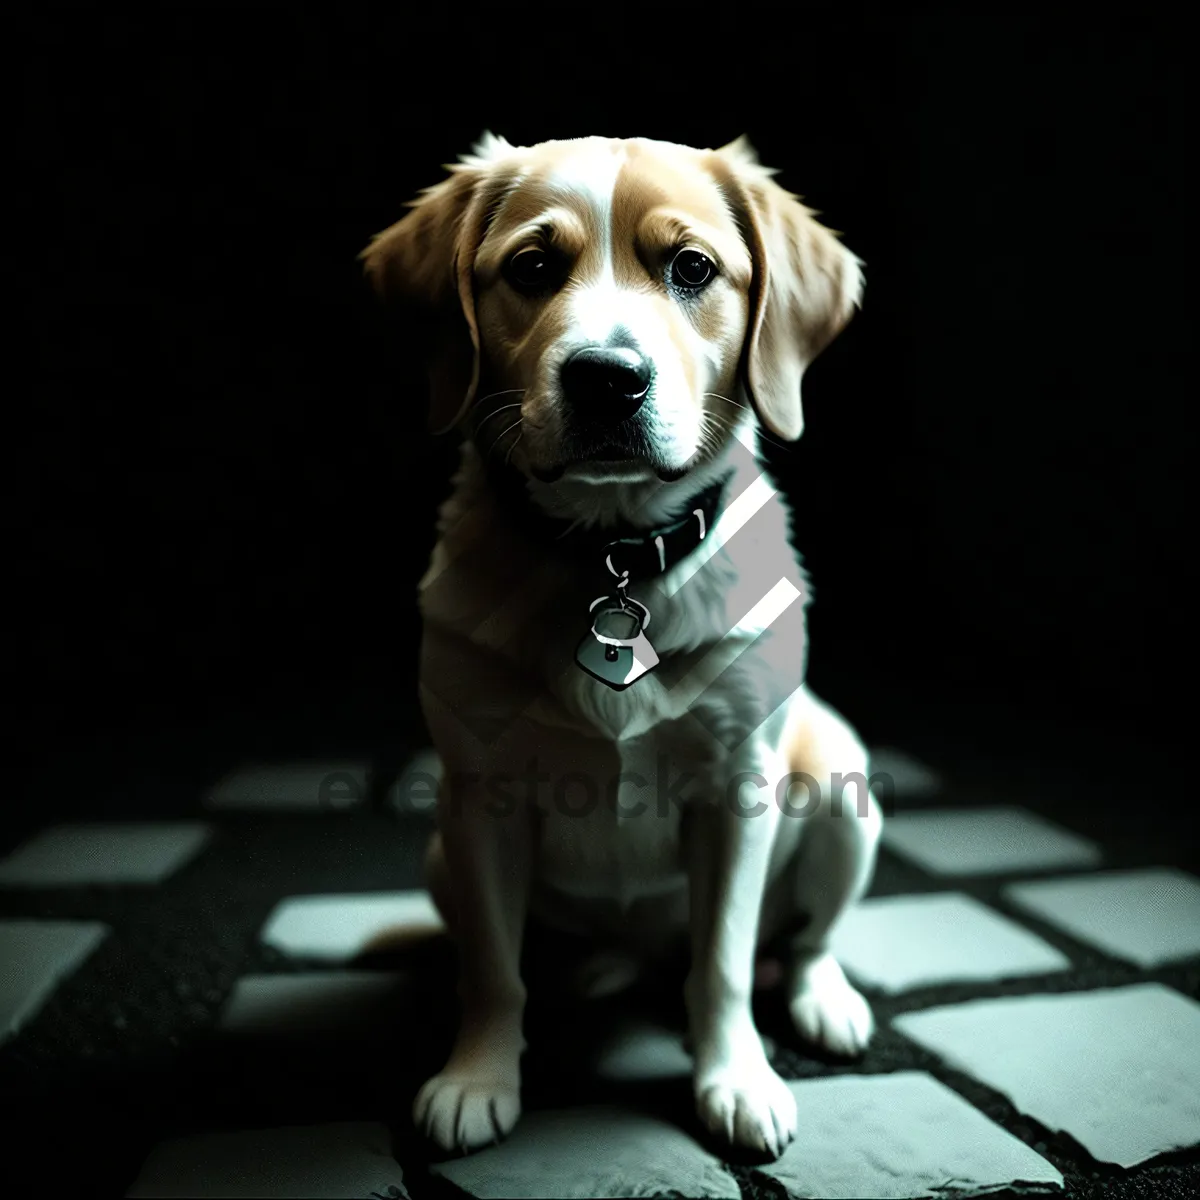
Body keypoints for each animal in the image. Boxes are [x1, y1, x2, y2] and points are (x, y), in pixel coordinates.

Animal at [357, 136, 883, 1156]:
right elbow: (493, 970)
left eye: (692, 269)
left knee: (800, 942)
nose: (608, 375)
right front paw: (479, 1077)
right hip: (441, 854)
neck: (614, 554)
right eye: (531, 268)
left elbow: (723, 965)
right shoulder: (480, 801)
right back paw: (585, 975)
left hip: (843, 791)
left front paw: (736, 1079)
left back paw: (822, 999)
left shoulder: (738, 790)